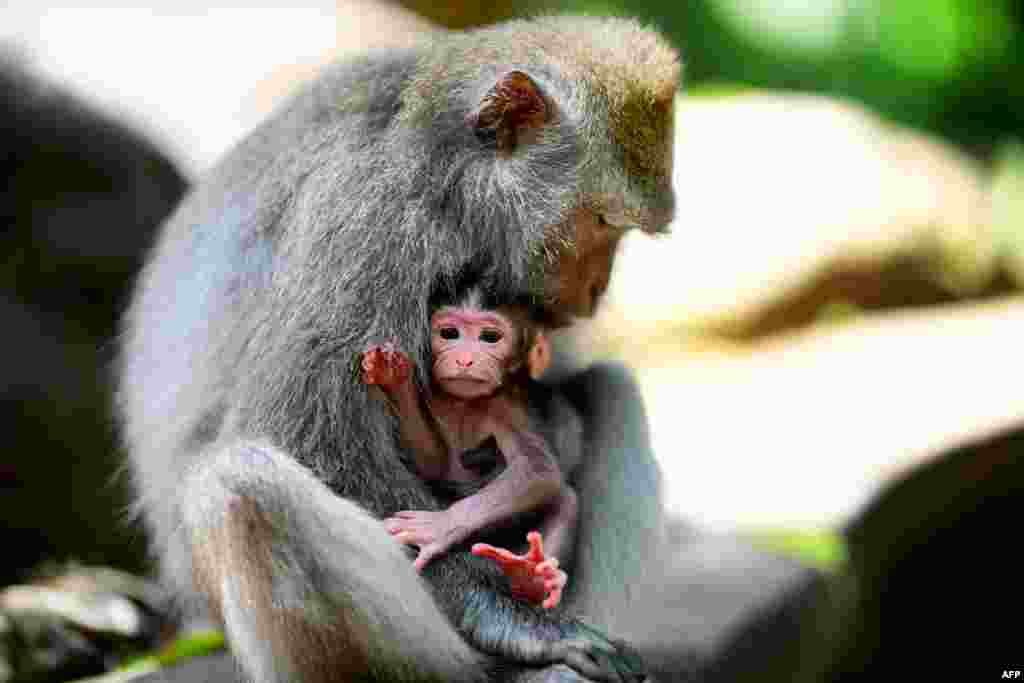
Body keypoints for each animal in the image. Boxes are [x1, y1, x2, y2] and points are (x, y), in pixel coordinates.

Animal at [364, 288, 581, 610]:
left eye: (490, 337)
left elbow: (537, 468)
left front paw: (439, 526)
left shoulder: (504, 406)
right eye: (449, 333)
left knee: (564, 499)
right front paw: (395, 378)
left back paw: (532, 577)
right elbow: (435, 464)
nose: (465, 359)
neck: (462, 403)